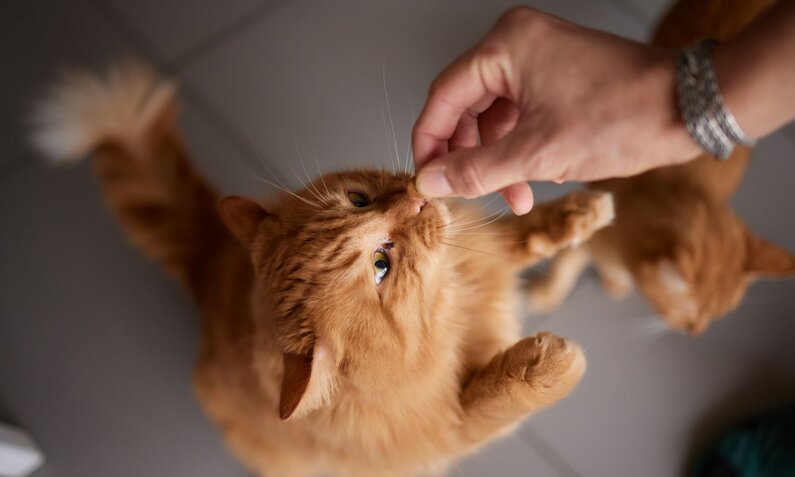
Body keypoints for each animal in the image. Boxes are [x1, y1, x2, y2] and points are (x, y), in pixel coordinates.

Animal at [32, 64, 616, 476]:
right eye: (380, 265)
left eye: (358, 199)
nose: (417, 200)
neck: (451, 301)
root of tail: (212, 265)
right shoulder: (453, 426)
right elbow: (503, 395)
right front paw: (550, 363)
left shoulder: (481, 253)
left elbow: (516, 234)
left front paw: (581, 212)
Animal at [528, 0, 795, 334]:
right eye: (686, 316)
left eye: (717, 316)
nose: (696, 332)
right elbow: (565, 265)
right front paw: (545, 295)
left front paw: (614, 283)